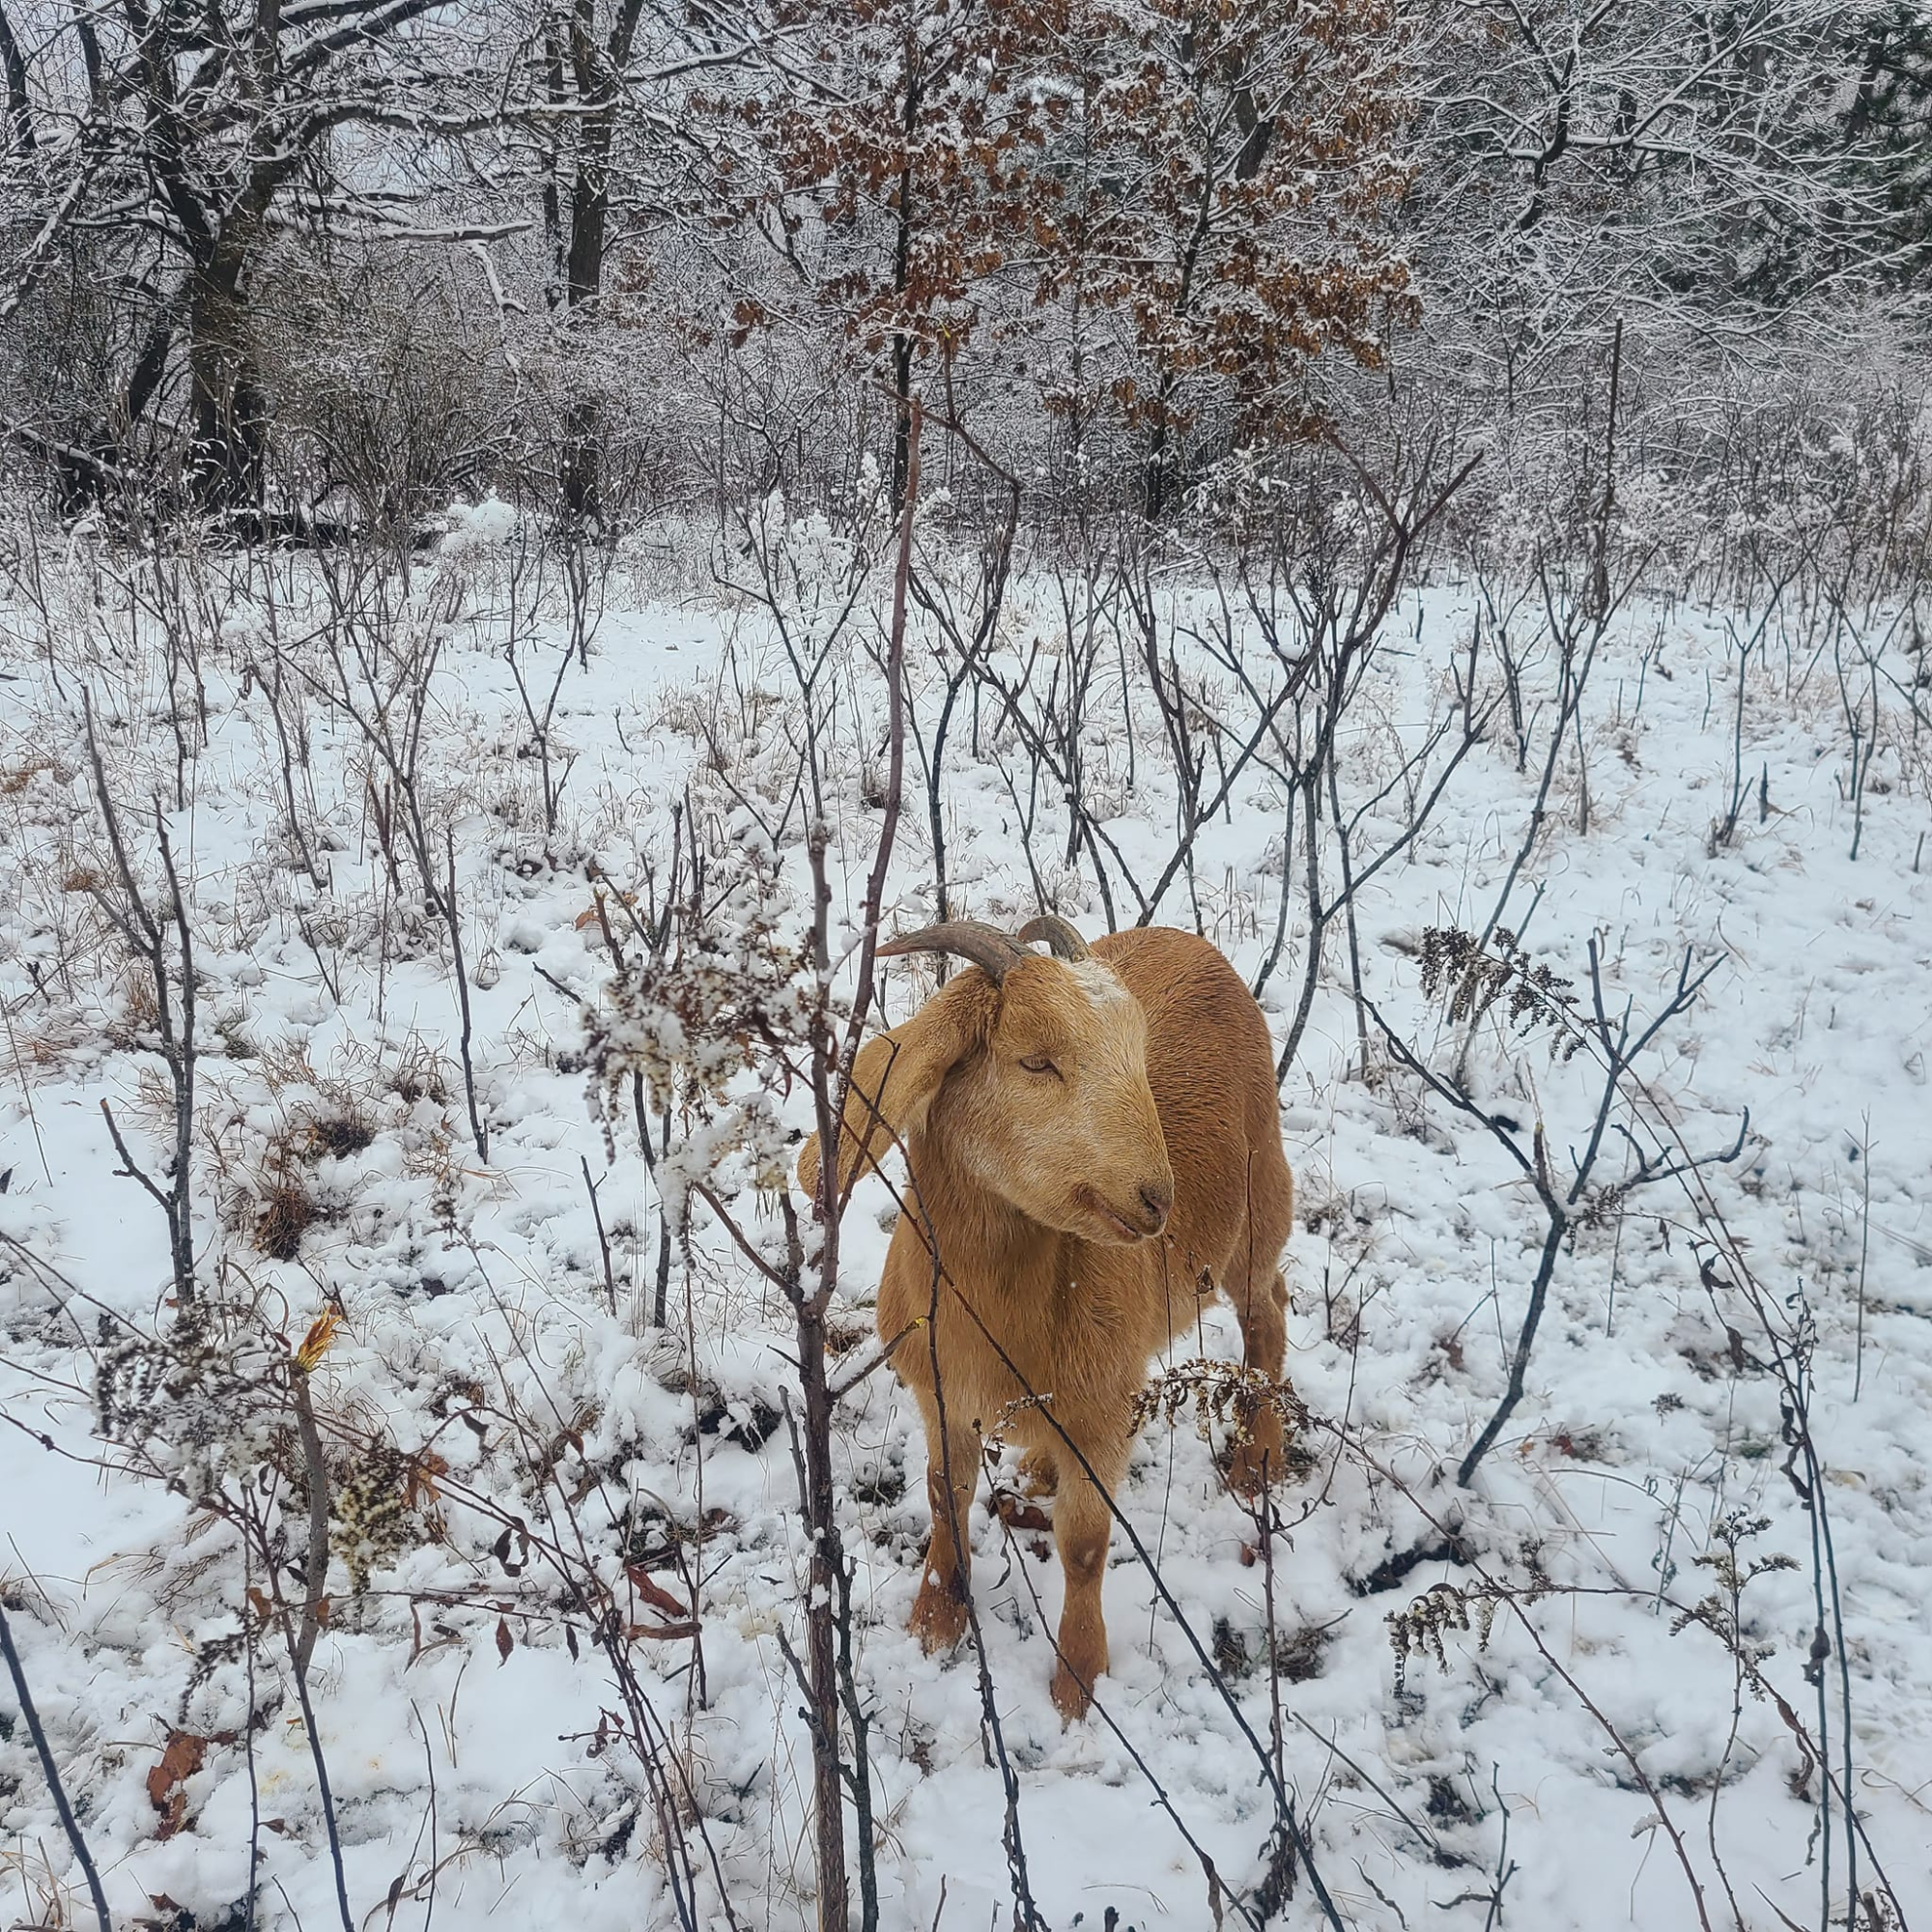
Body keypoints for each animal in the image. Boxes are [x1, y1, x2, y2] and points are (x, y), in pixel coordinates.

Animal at [797, 915, 1293, 1719]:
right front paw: (936, 1616)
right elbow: (944, 1498)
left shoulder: (1104, 1411)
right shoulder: (942, 1398)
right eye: (1034, 1061)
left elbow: (1085, 1545)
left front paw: (1076, 1680)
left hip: (1257, 1212)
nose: (1158, 1198)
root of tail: (1189, 939)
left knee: (1268, 1315)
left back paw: (1259, 1460)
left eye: (1136, 1051)